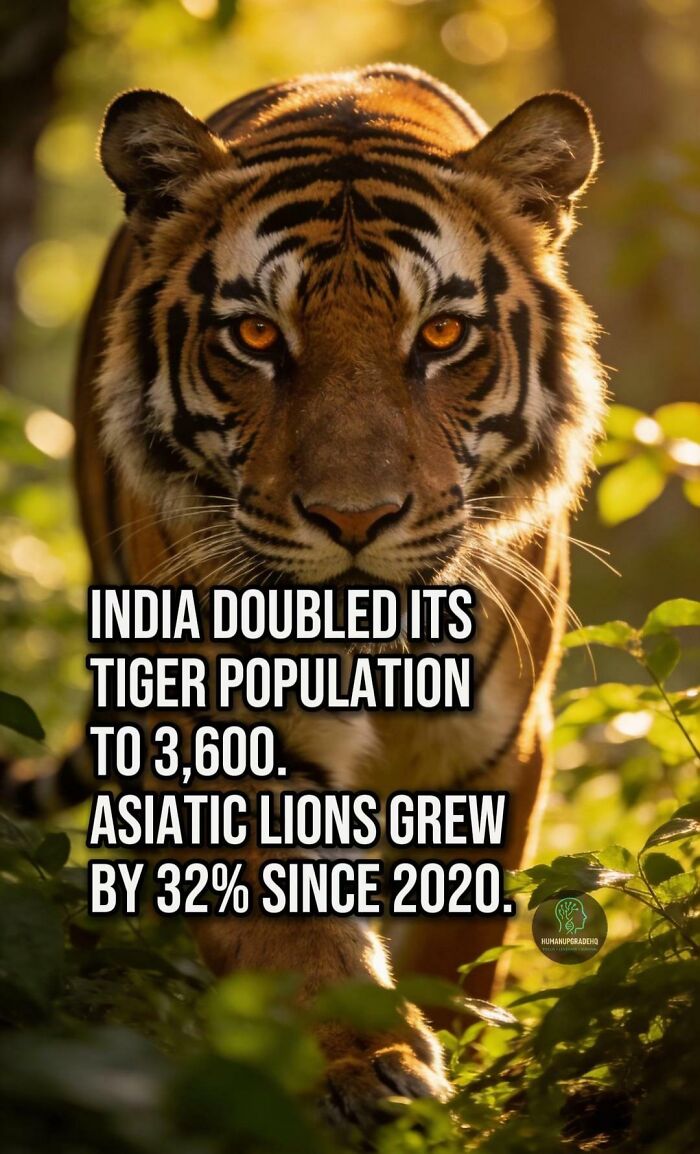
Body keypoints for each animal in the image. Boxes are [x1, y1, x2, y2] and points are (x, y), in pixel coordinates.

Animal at [6, 64, 604, 1132]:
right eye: (255, 335)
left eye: (441, 334)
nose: (352, 517)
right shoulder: (221, 732)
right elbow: (292, 928)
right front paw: (370, 1067)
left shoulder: (493, 742)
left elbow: (459, 945)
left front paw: (454, 1064)